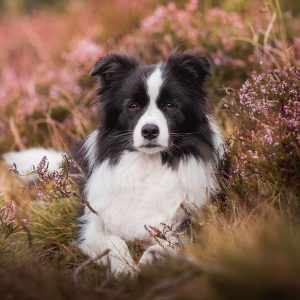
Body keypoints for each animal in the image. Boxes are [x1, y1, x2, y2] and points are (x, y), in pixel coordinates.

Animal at [2, 50, 223, 276]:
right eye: (132, 106)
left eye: (170, 105)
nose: (149, 131)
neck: (148, 163)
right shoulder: (88, 221)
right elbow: (114, 242)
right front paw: (125, 271)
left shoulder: (191, 223)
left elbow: (159, 246)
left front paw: (144, 268)